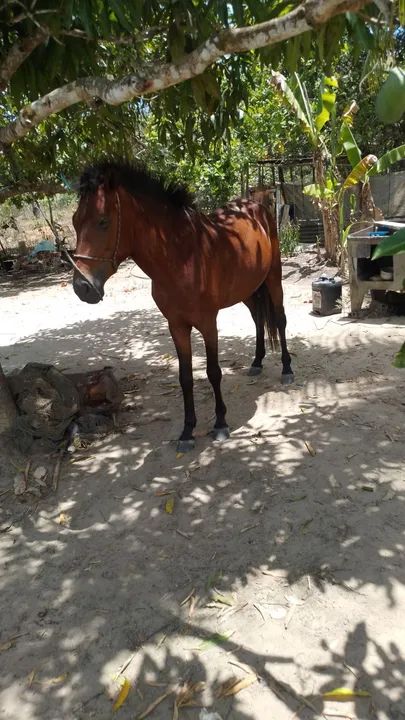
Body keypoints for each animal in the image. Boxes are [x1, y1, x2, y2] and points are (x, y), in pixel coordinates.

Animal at [69, 160, 294, 452]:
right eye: (75, 221)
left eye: (103, 221)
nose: (82, 287)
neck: (182, 257)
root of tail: (256, 205)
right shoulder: (176, 326)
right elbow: (185, 378)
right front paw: (187, 432)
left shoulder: (208, 323)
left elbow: (213, 372)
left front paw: (220, 423)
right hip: (247, 288)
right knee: (258, 318)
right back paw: (256, 362)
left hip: (273, 278)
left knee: (279, 319)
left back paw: (287, 370)